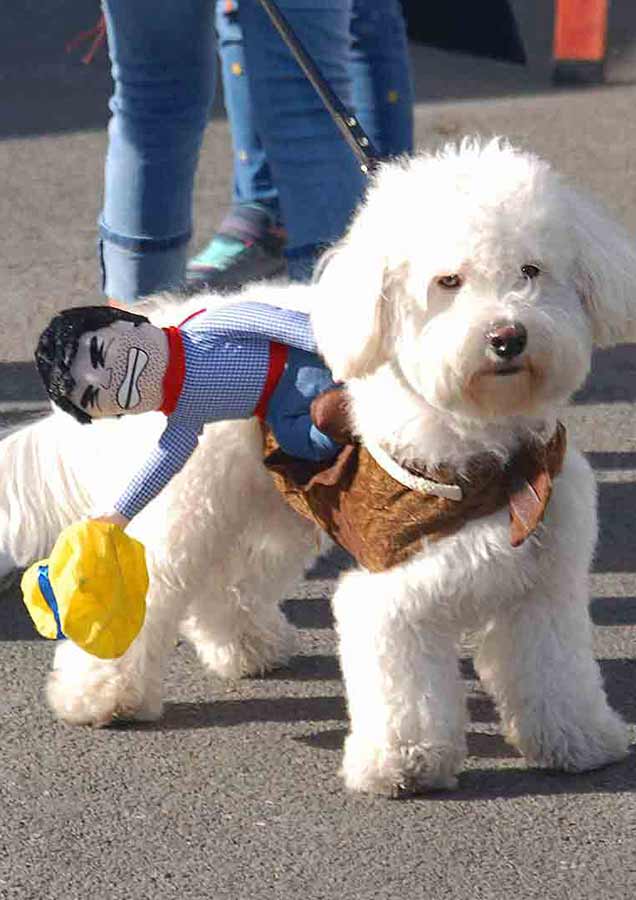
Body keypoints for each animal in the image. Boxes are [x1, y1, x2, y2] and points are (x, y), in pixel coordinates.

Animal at [1, 139, 634, 796]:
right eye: (449, 282)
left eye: (531, 271)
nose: (508, 336)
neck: (492, 458)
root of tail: (176, 325)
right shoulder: (394, 599)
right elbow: (404, 692)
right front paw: (403, 762)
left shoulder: (545, 585)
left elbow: (556, 672)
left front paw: (577, 739)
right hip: (186, 503)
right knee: (157, 579)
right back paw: (98, 693)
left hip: (277, 508)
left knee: (230, 582)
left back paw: (244, 644)